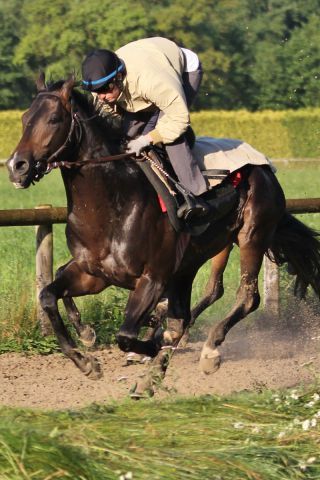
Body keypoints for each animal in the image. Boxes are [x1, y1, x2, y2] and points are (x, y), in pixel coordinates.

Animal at [6, 77, 320, 396]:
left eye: (54, 119)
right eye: (24, 119)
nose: (17, 166)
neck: (112, 203)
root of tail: (264, 167)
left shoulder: (153, 278)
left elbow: (127, 335)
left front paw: (146, 345)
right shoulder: (94, 274)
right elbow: (48, 295)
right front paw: (86, 358)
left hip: (251, 237)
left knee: (247, 297)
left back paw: (208, 352)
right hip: (200, 257)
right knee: (202, 299)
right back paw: (150, 376)